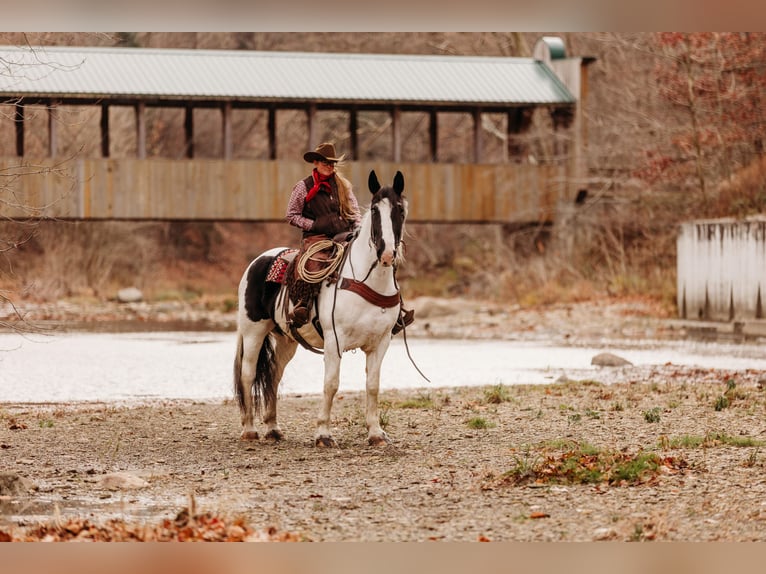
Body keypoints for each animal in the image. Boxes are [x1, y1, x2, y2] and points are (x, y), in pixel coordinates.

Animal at [232, 169, 408, 448]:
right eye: (375, 210)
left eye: (400, 209)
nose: (387, 253)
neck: (366, 280)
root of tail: (258, 260)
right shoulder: (334, 340)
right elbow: (331, 384)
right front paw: (323, 434)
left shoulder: (381, 342)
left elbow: (372, 385)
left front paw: (376, 434)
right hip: (253, 332)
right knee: (248, 375)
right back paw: (249, 429)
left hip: (286, 341)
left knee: (273, 376)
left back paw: (273, 428)